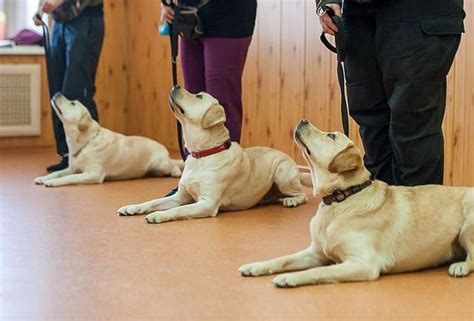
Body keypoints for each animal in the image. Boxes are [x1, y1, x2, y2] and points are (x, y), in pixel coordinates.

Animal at [34, 92, 183, 186]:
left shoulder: (93, 174)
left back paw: (176, 171)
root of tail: (164, 150)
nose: (57, 93)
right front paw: (43, 178)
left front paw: (52, 182)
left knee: (173, 165)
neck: (85, 143)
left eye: (72, 103)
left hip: (160, 164)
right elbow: (58, 173)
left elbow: (69, 178)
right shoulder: (73, 168)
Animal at [117, 86, 310, 224]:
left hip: (282, 175)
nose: (176, 85)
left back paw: (292, 201)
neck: (202, 155)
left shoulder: (207, 203)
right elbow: (152, 201)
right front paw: (133, 207)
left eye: (199, 97)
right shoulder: (180, 197)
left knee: (303, 195)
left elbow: (178, 210)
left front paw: (159, 215)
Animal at [241, 119, 474, 286]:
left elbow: (318, 271)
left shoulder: (362, 264)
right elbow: (283, 259)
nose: (303, 120)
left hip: (467, 227)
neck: (341, 198)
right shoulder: (316, 252)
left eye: (331, 135)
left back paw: (460, 267)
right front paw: (256, 266)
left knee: (473, 258)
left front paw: (290, 278)